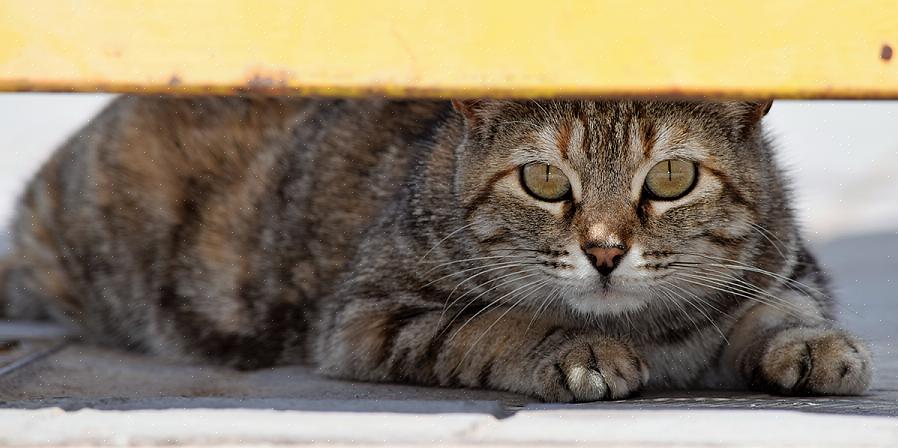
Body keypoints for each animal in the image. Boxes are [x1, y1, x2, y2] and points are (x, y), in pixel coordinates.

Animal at [0, 96, 868, 400]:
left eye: (673, 177)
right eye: (544, 181)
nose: (605, 251)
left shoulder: (787, 264)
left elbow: (783, 306)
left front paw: (813, 346)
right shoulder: (367, 316)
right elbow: (496, 323)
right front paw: (573, 349)